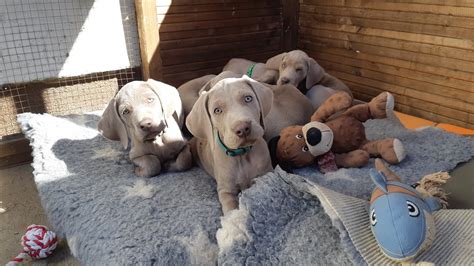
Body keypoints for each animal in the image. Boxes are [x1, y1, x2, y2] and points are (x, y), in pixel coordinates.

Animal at [186, 75, 274, 214]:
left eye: (248, 98)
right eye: (217, 110)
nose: (243, 129)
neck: (242, 154)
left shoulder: (266, 173)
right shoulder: (226, 190)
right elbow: (231, 208)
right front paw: (234, 218)